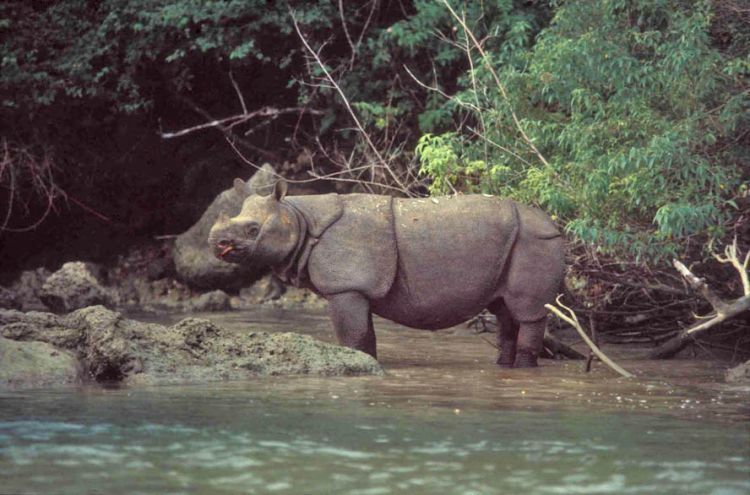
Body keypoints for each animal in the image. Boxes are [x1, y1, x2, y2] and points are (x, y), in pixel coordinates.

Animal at [209, 180, 568, 366]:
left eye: (253, 230)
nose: (216, 243)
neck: (298, 217)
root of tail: (556, 226)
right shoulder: (354, 288)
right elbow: (364, 336)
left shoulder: (346, 287)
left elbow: (353, 335)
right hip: (517, 243)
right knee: (505, 310)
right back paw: (504, 367)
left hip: (536, 242)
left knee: (529, 312)